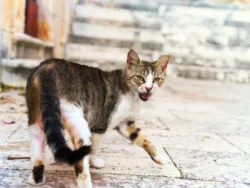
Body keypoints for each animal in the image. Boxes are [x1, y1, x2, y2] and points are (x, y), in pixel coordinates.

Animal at [25, 49, 170, 187]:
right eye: (139, 78)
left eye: (157, 79)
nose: (149, 88)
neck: (132, 95)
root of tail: (48, 67)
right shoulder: (102, 125)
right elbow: (94, 147)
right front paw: (94, 161)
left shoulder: (124, 123)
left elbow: (141, 137)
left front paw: (158, 157)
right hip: (77, 119)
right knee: (80, 155)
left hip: (36, 115)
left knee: (37, 143)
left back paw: (36, 179)